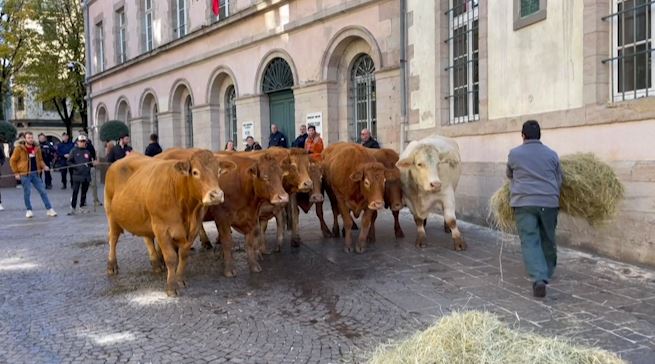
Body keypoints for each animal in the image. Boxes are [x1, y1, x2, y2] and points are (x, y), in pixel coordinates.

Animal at [104, 150, 234, 296]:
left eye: (218, 171)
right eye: (195, 172)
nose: (216, 195)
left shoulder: (193, 228)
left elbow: (183, 255)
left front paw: (179, 279)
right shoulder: (161, 229)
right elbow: (171, 258)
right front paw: (172, 287)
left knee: (147, 238)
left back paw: (156, 264)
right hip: (111, 214)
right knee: (113, 239)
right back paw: (112, 266)